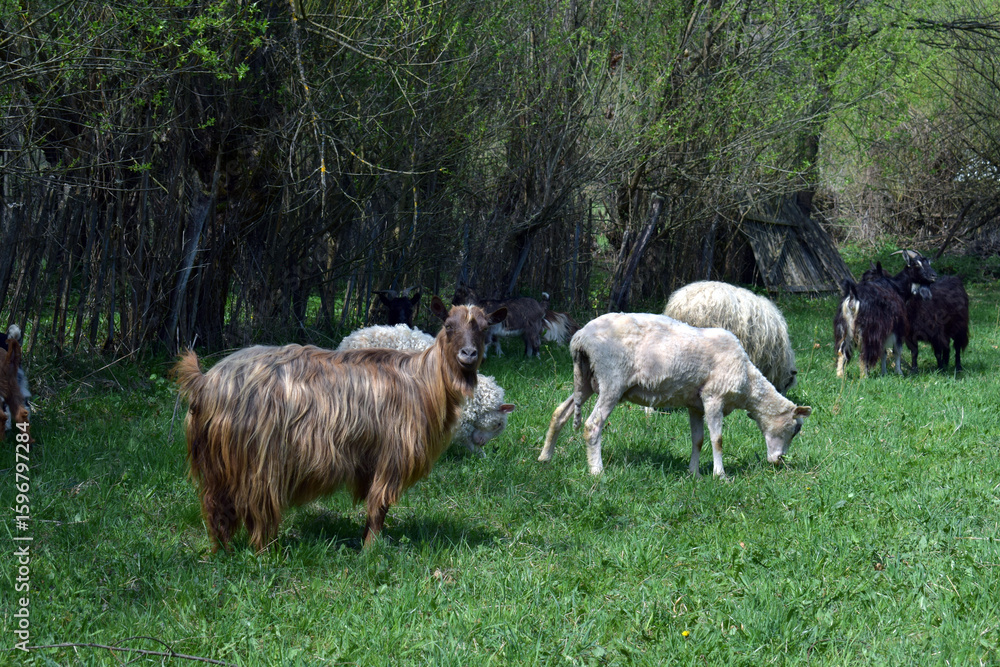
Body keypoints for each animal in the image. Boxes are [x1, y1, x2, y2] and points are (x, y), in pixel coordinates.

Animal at [538, 313, 811, 478]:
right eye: (795, 428)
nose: (778, 461)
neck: (748, 382)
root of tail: (579, 338)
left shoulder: (695, 404)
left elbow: (698, 440)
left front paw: (694, 473)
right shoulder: (713, 397)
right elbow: (718, 439)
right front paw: (720, 475)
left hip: (587, 380)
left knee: (559, 413)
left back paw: (545, 457)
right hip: (611, 380)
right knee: (592, 425)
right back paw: (597, 471)